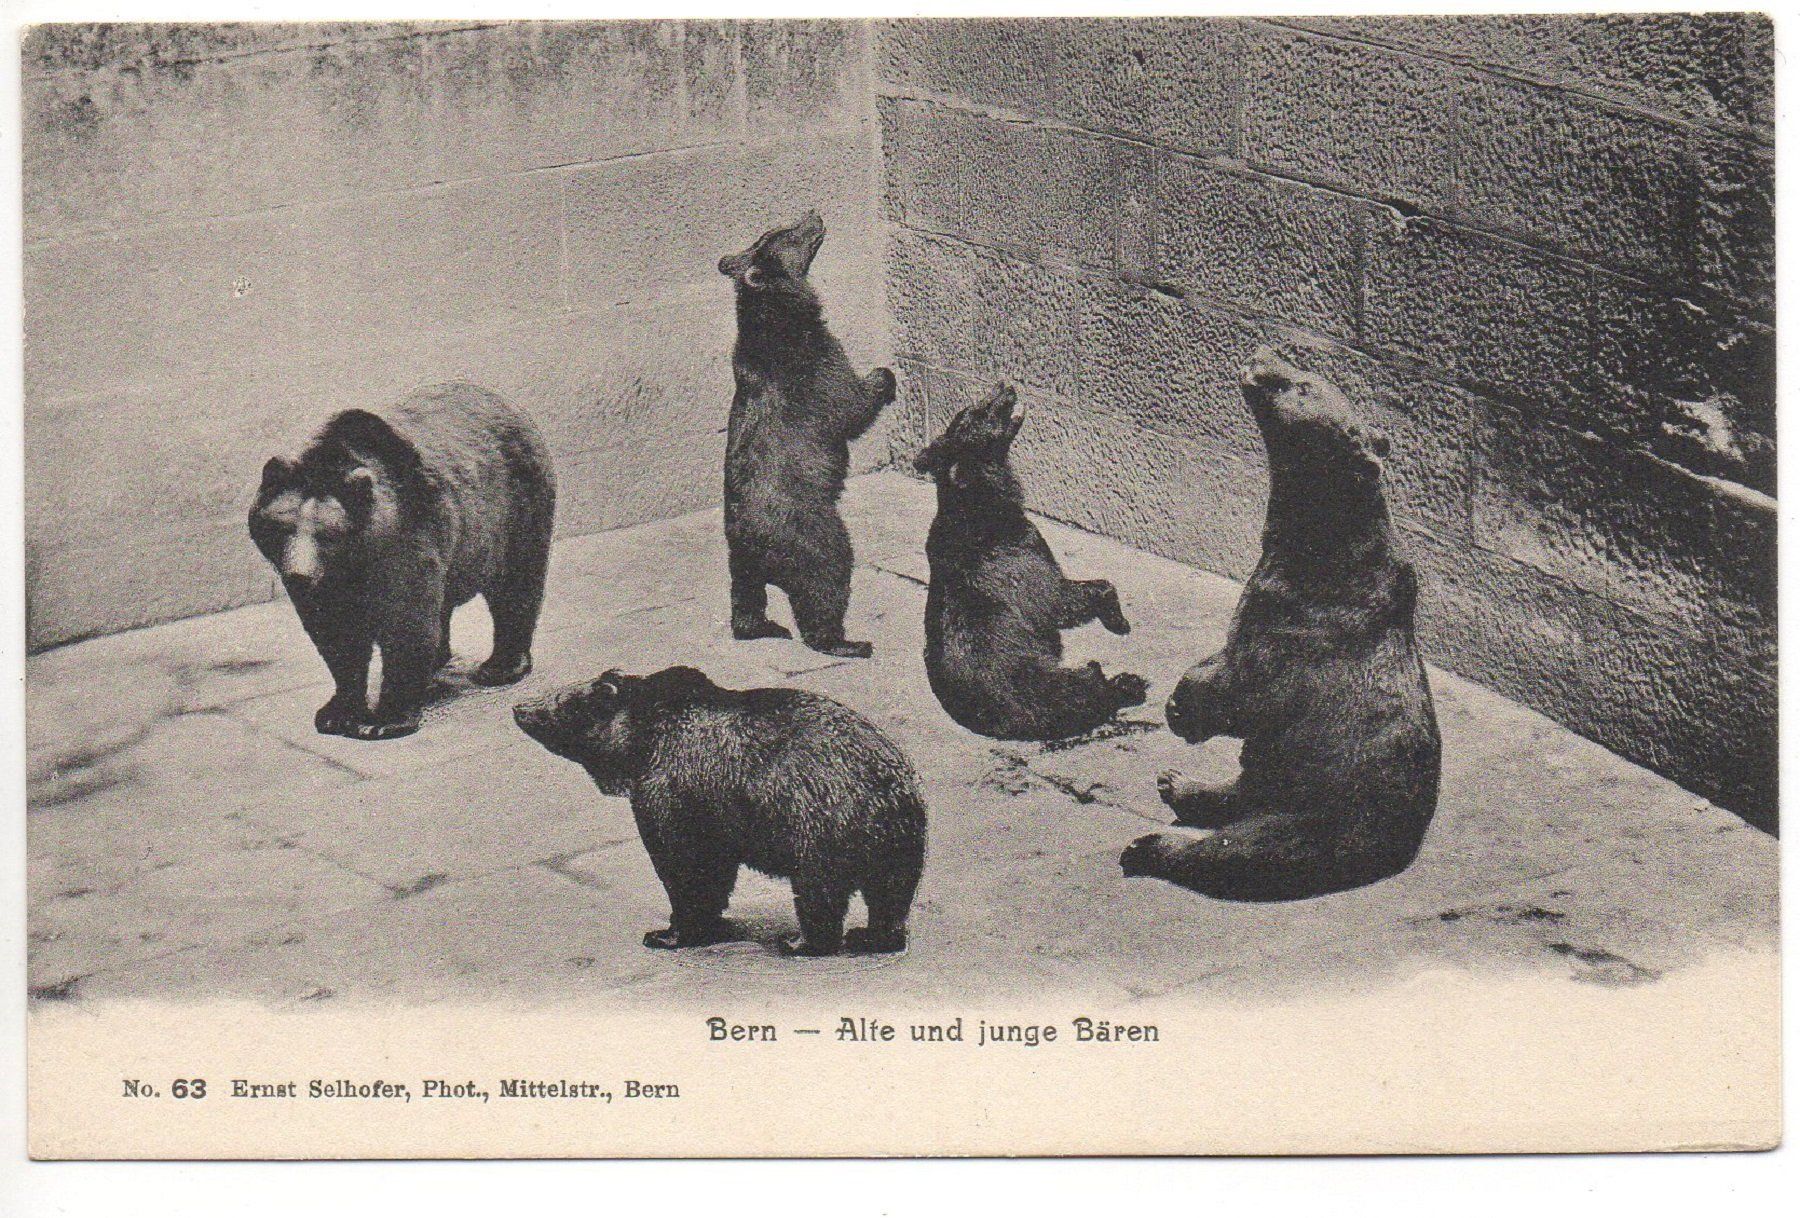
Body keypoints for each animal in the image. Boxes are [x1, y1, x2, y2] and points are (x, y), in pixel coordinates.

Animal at [249, 382, 556, 741]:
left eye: (327, 535)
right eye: (283, 527)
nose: (299, 575)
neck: (354, 561)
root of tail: (507, 402)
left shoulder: (407, 536)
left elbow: (406, 621)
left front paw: (384, 719)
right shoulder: (330, 583)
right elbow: (335, 632)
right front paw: (336, 712)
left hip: (515, 506)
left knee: (516, 583)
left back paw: (500, 667)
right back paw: (440, 659)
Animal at [512, 665, 927, 957]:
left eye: (558, 700)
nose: (519, 707)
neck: (639, 743)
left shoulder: (675, 789)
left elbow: (685, 867)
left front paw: (669, 932)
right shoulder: (715, 812)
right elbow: (715, 869)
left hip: (818, 819)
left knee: (818, 889)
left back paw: (801, 941)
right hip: (898, 839)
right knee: (890, 893)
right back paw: (872, 935)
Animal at [718, 209, 896, 659]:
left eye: (768, 231)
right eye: (782, 235)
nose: (813, 214)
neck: (777, 317)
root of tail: (757, 549)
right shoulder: (815, 364)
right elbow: (849, 407)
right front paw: (883, 377)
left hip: (739, 561)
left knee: (746, 598)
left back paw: (763, 626)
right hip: (808, 531)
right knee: (828, 576)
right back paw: (846, 641)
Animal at [915, 382, 1148, 740]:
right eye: (981, 410)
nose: (1005, 385)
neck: (978, 506)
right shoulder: (1028, 559)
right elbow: (1074, 594)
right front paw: (1119, 621)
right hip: (1047, 685)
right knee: (1089, 691)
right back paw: (1128, 684)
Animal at [1120, 348, 1441, 901]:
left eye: (1304, 385)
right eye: (1307, 371)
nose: (1263, 356)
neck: (1314, 544)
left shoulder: (1308, 621)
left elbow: (1253, 687)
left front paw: (1185, 707)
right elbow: (1225, 653)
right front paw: (1180, 705)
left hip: (1318, 811)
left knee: (1242, 848)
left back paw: (1150, 843)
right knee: (1241, 791)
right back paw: (1179, 784)